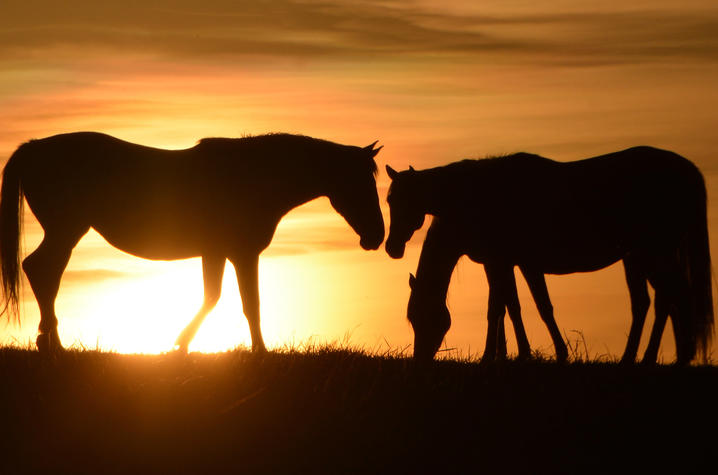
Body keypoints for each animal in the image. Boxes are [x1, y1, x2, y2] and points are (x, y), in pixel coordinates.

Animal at [0, 132, 384, 354]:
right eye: (360, 182)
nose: (377, 236)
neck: (254, 175)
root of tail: (32, 149)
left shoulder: (219, 253)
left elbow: (217, 297)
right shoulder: (240, 253)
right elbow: (247, 304)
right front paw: (258, 353)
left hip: (66, 231)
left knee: (44, 273)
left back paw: (51, 343)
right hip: (66, 229)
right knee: (41, 270)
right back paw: (53, 344)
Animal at [385, 146, 713, 365]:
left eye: (425, 315)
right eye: (389, 200)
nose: (392, 247)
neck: (477, 194)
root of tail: (688, 170)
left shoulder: (504, 262)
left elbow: (504, 308)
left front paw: (501, 356)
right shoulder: (508, 263)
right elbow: (518, 307)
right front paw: (515, 354)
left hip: (655, 253)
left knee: (671, 297)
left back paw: (657, 358)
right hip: (646, 256)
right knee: (659, 300)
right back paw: (651, 357)